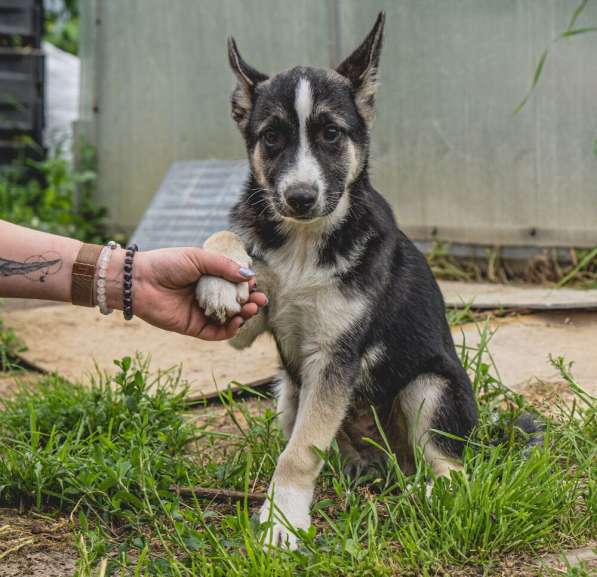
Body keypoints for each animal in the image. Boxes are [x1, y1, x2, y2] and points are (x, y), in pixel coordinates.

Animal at [198, 11, 478, 548]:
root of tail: (391, 466)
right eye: (272, 137)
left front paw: (282, 521)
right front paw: (219, 282)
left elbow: (301, 451)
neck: (305, 242)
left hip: (430, 388)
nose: (300, 198)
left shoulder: (336, 356)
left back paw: (427, 495)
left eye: (331, 133)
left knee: (452, 470)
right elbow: (227, 237)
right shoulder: (254, 325)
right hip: (286, 391)